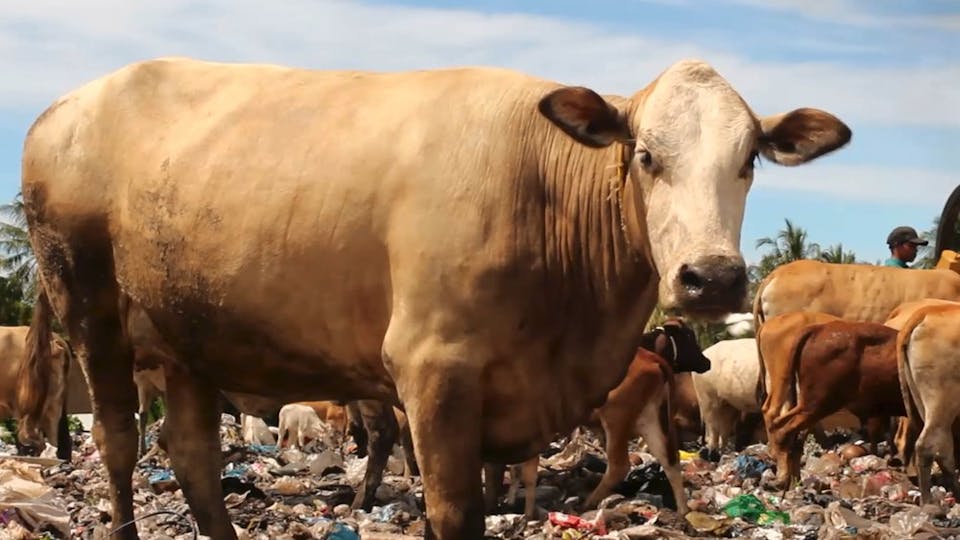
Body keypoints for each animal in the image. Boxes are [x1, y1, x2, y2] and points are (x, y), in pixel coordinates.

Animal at [17, 56, 850, 539]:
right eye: (646, 155)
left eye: (750, 159)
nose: (712, 276)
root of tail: (65, 105)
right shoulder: (435, 372)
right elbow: (454, 512)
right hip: (88, 309)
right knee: (119, 442)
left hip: (190, 335)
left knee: (190, 456)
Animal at [765, 320, 903, 489]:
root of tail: (818, 329)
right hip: (817, 404)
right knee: (782, 429)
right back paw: (783, 478)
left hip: (811, 406)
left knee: (790, 433)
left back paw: (793, 480)